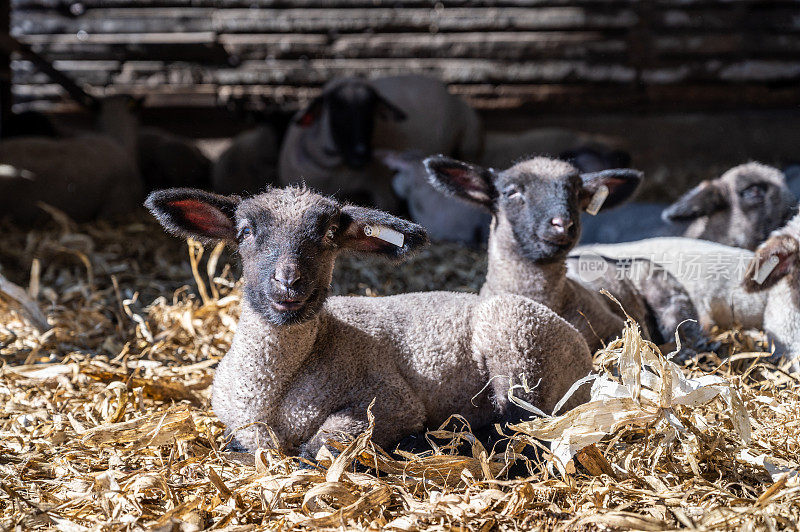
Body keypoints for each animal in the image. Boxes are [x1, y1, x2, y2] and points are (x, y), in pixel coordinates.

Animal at [145, 186, 592, 458]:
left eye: (329, 233)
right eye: (245, 231)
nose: (288, 281)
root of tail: (584, 352)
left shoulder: (390, 400)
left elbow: (321, 444)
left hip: (520, 349)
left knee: (519, 425)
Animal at [278, 75, 484, 212]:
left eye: (370, 113)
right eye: (337, 111)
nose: (361, 154)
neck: (338, 171)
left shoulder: (382, 190)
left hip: (470, 139)